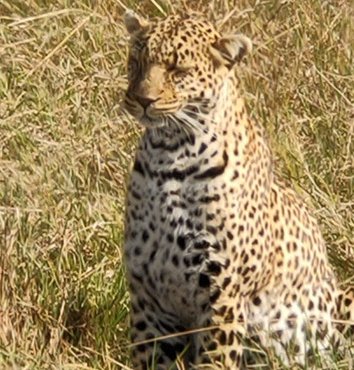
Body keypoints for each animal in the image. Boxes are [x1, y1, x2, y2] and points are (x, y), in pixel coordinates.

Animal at [122, 9, 354, 370]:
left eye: (178, 70)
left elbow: (215, 359)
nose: (141, 100)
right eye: (136, 62)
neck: (169, 156)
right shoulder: (147, 295)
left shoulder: (222, 294)